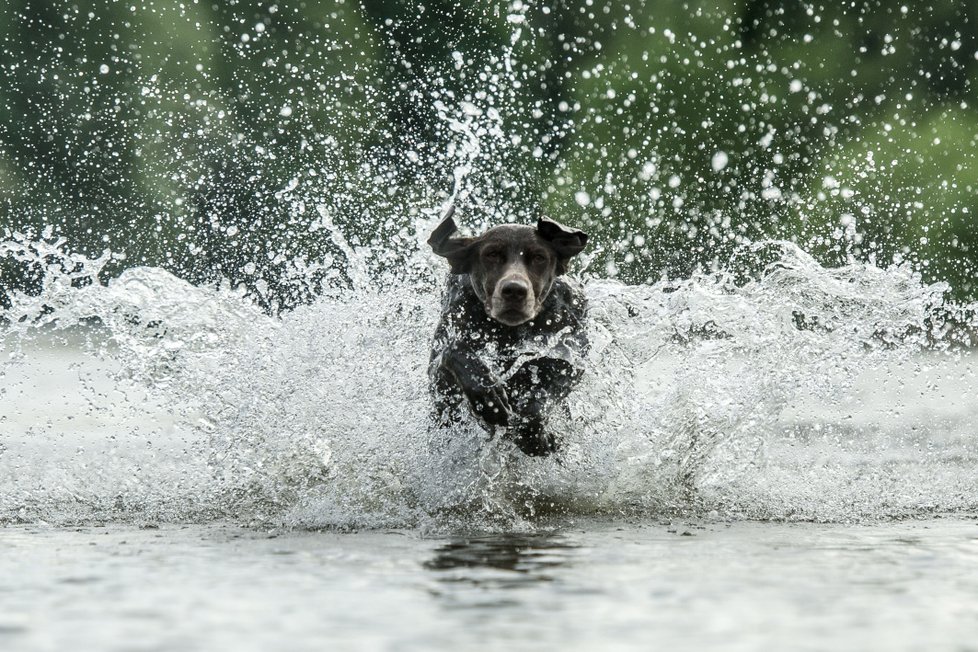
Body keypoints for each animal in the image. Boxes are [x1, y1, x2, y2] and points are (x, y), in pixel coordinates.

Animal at [428, 206, 588, 456]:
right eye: (492, 254)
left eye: (539, 257)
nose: (514, 290)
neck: (508, 334)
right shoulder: (440, 382)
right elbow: (453, 351)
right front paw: (488, 396)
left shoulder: (569, 350)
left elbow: (541, 396)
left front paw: (534, 432)